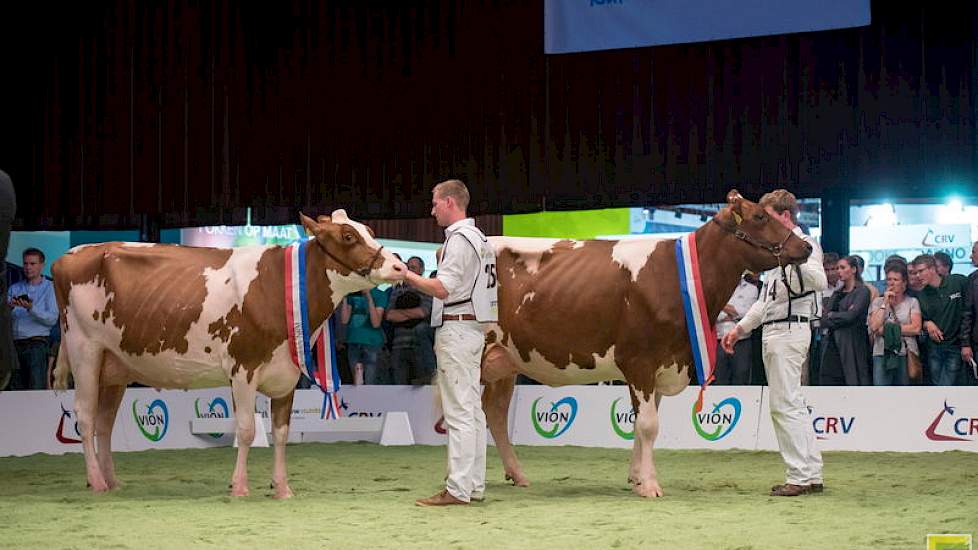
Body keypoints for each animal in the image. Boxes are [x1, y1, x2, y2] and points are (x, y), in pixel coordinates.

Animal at [478, 192, 808, 498]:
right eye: (760, 217)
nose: (806, 246)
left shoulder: (662, 363)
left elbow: (641, 425)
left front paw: (637, 477)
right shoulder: (640, 361)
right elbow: (649, 424)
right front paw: (649, 485)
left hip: (505, 362)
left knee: (495, 412)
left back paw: (517, 474)